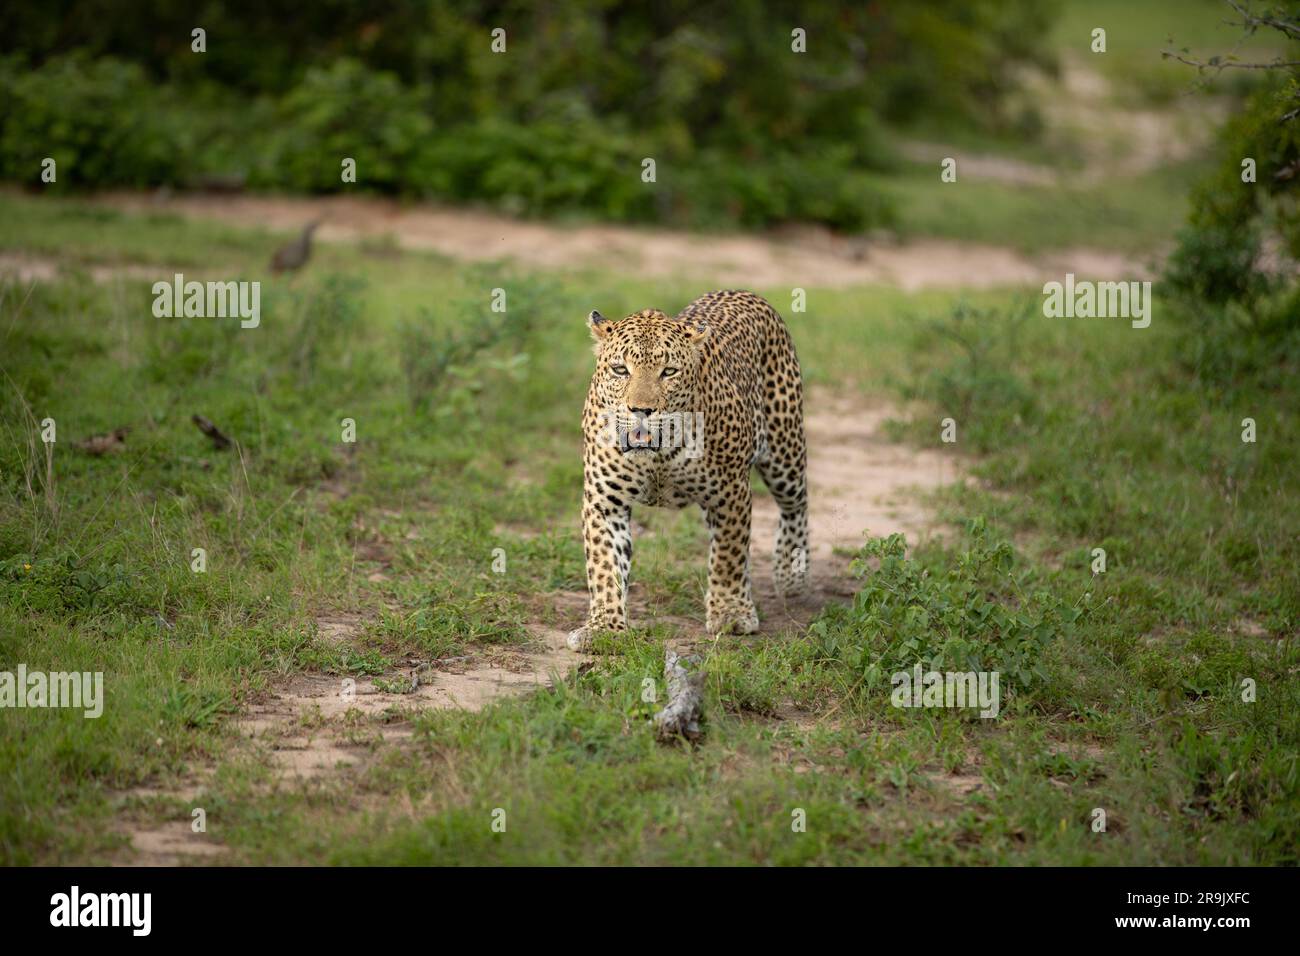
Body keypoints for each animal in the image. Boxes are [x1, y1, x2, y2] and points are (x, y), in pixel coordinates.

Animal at [566, 287, 800, 655]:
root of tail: (742, 291)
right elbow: (605, 565)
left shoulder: (731, 492)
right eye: (620, 370)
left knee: (796, 505)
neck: (658, 453)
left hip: (785, 450)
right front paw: (604, 628)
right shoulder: (604, 502)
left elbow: (729, 556)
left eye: (669, 372)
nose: (641, 410)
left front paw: (731, 614)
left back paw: (791, 574)